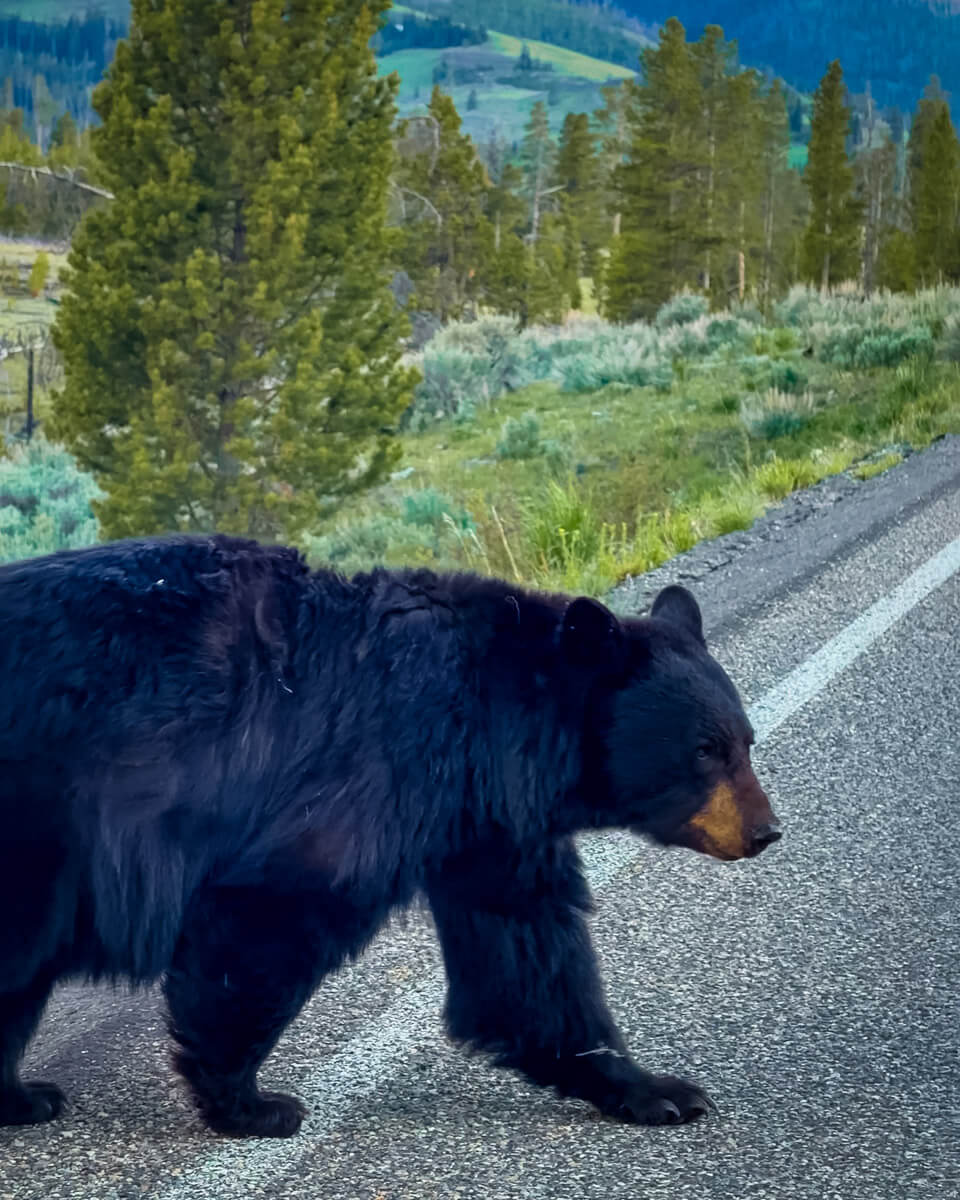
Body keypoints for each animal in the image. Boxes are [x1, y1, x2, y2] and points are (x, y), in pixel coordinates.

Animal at [0, 533, 780, 1138]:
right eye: (705, 750)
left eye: (744, 741)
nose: (766, 830)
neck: (492, 721)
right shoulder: (371, 780)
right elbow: (273, 914)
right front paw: (249, 1103)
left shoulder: (487, 827)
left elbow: (526, 959)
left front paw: (654, 1089)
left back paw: (22, 1095)